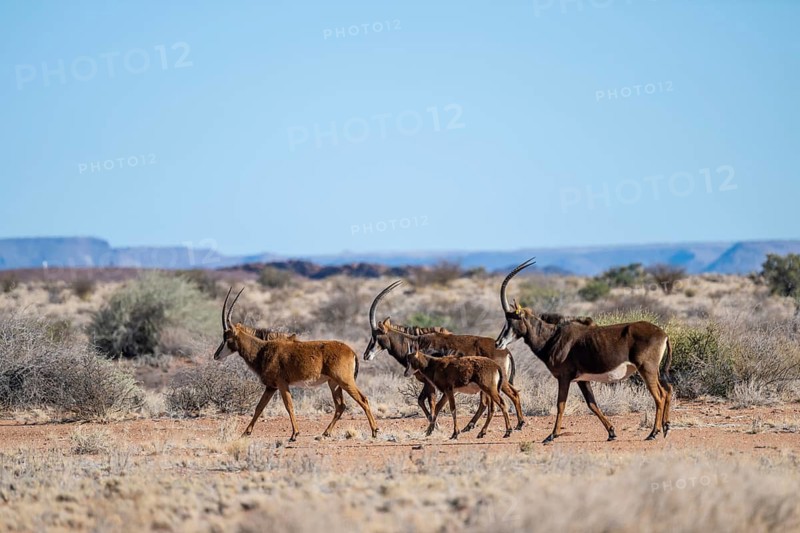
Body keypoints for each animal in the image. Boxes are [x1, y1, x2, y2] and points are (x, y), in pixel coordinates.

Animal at [214, 288, 378, 441]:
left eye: (227, 337)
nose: (216, 355)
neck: (262, 350)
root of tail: (351, 351)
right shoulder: (271, 387)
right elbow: (259, 407)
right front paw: (245, 433)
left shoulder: (281, 384)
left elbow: (289, 406)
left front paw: (294, 434)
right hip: (334, 384)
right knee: (340, 406)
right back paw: (325, 433)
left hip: (345, 381)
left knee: (362, 399)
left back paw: (374, 431)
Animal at [363, 281, 526, 432]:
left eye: (375, 335)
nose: (366, 355)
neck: (416, 343)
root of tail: (505, 350)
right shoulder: (429, 383)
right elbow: (422, 400)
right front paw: (434, 424)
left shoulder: (430, 382)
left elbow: (429, 401)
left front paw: (435, 425)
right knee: (489, 402)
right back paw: (471, 426)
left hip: (498, 382)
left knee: (512, 395)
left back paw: (518, 423)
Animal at [496, 259, 673, 443]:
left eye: (512, 320)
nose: (498, 343)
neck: (552, 337)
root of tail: (663, 334)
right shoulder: (582, 380)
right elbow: (592, 404)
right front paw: (611, 432)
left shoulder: (564, 377)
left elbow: (560, 405)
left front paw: (551, 435)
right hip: (653, 371)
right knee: (668, 391)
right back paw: (666, 428)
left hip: (647, 369)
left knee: (659, 396)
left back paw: (653, 433)